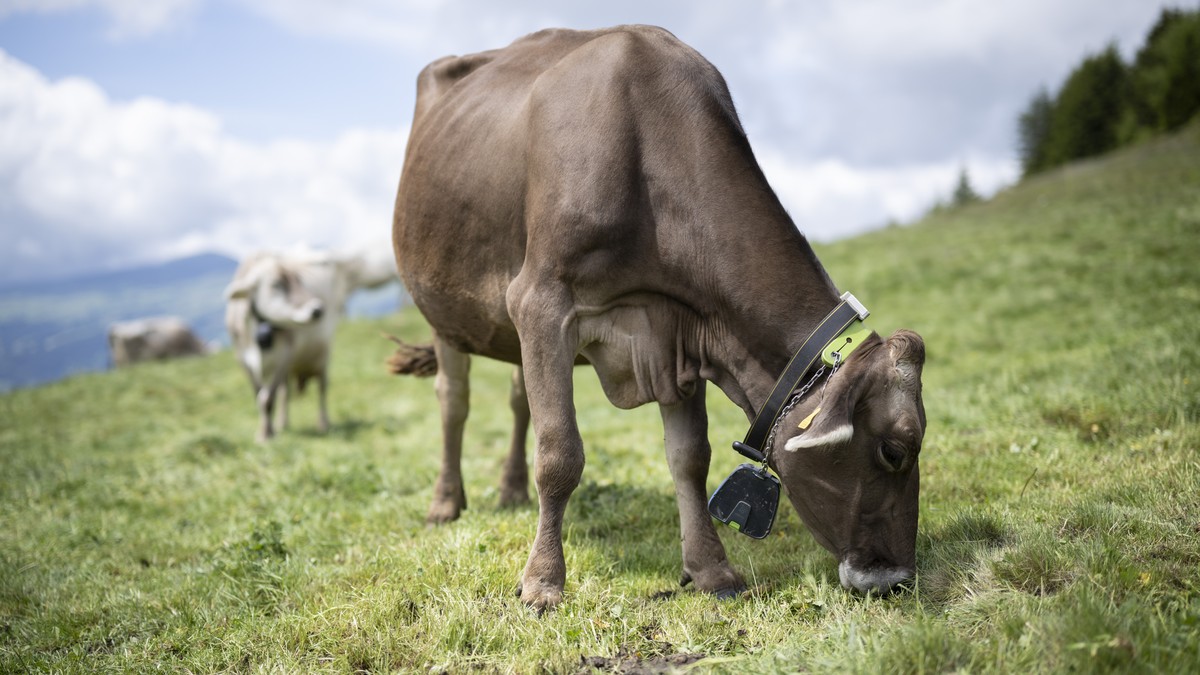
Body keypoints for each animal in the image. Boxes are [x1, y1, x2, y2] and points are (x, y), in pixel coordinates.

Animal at [225, 247, 397, 441]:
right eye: (276, 284)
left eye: (299, 280)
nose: (317, 309)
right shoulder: (243, 359)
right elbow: (259, 397)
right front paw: (265, 431)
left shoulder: (285, 355)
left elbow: (268, 399)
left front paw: (266, 434)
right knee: (285, 393)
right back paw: (282, 423)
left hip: (323, 354)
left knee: (322, 387)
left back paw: (323, 423)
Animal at [391, 25, 927, 611]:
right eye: (894, 450)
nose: (896, 577)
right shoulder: (540, 300)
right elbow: (559, 454)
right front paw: (542, 582)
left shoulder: (680, 329)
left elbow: (690, 458)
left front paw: (711, 568)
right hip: (445, 311)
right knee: (454, 402)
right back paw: (446, 503)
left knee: (516, 400)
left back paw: (510, 490)